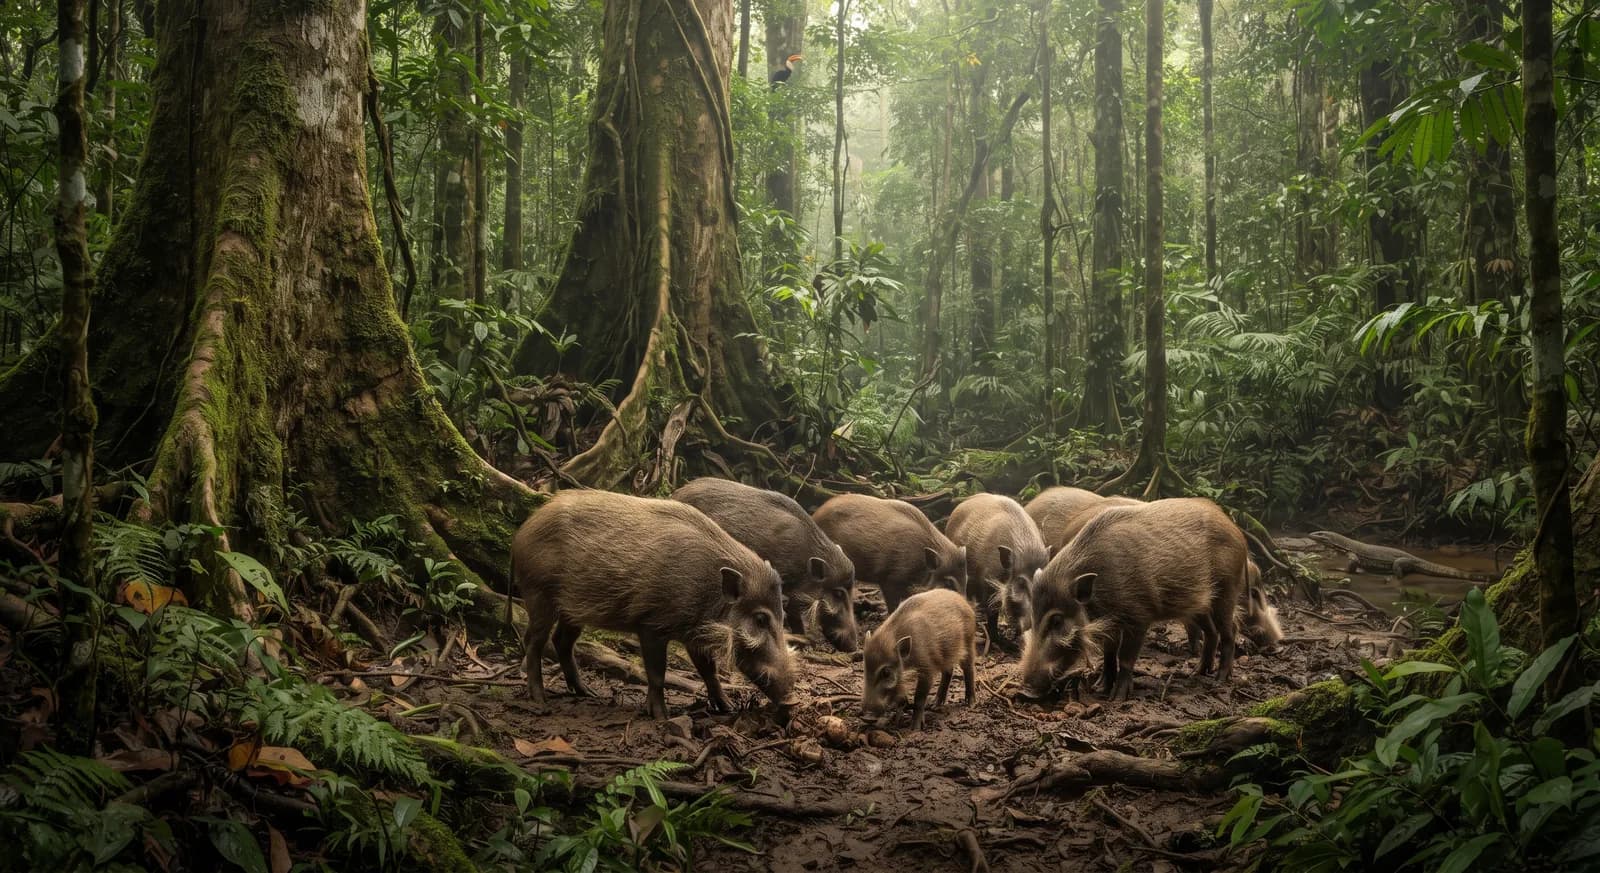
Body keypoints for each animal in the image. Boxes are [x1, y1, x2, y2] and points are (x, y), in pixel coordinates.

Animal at [512, 490, 797, 719]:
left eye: (783, 615)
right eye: (761, 619)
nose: (791, 702)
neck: (709, 591)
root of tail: (523, 530)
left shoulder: (694, 634)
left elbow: (709, 671)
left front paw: (727, 708)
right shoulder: (651, 625)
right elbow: (658, 673)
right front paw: (661, 717)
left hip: (572, 609)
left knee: (562, 641)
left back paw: (587, 693)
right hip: (539, 594)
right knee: (534, 641)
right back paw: (540, 699)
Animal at [861, 588, 977, 730]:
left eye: (886, 673)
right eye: (865, 668)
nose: (866, 717)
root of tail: (963, 600)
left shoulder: (926, 669)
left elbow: (919, 700)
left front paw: (915, 728)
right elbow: (902, 699)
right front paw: (896, 721)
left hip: (968, 643)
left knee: (969, 669)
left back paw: (971, 703)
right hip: (946, 655)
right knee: (948, 671)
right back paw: (935, 705)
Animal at [1019, 498, 1249, 701]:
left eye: (1057, 621)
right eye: (1033, 617)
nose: (1025, 690)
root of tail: (1236, 529)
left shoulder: (1139, 617)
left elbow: (1125, 658)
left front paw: (1117, 699)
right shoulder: (1111, 623)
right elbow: (1109, 655)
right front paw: (1100, 688)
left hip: (1227, 589)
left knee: (1230, 631)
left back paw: (1220, 679)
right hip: (1197, 605)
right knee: (1211, 632)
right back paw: (1197, 673)